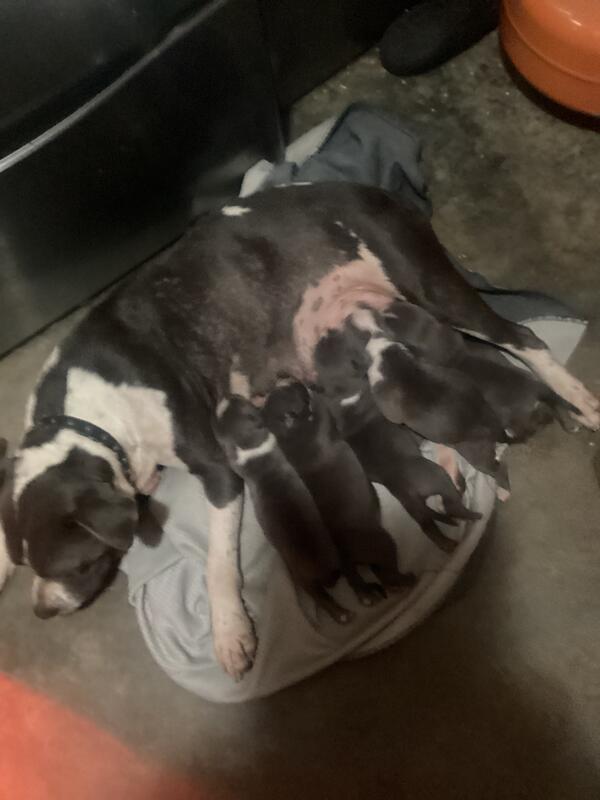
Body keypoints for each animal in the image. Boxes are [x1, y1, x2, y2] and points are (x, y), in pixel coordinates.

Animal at [263, 380, 414, 601]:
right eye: (294, 392)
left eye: (282, 389)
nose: (298, 382)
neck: (289, 433)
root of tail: (342, 559)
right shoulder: (322, 418)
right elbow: (322, 409)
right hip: (381, 543)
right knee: (389, 574)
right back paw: (405, 581)